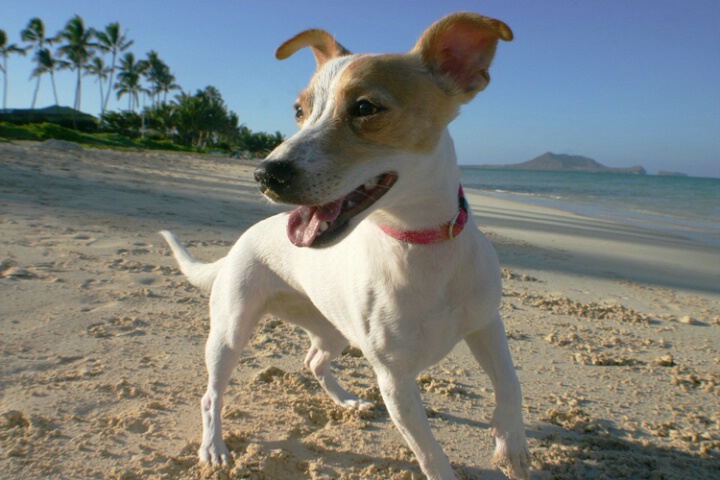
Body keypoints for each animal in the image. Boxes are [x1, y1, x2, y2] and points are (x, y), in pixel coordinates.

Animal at [162, 12, 528, 480]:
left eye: (365, 108)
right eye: (298, 111)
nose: (265, 174)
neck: (421, 244)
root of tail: (239, 242)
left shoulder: (487, 324)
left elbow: (510, 384)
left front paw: (512, 445)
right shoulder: (395, 382)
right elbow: (431, 455)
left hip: (331, 329)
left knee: (314, 361)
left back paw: (347, 401)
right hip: (229, 332)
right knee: (212, 395)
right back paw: (214, 447)